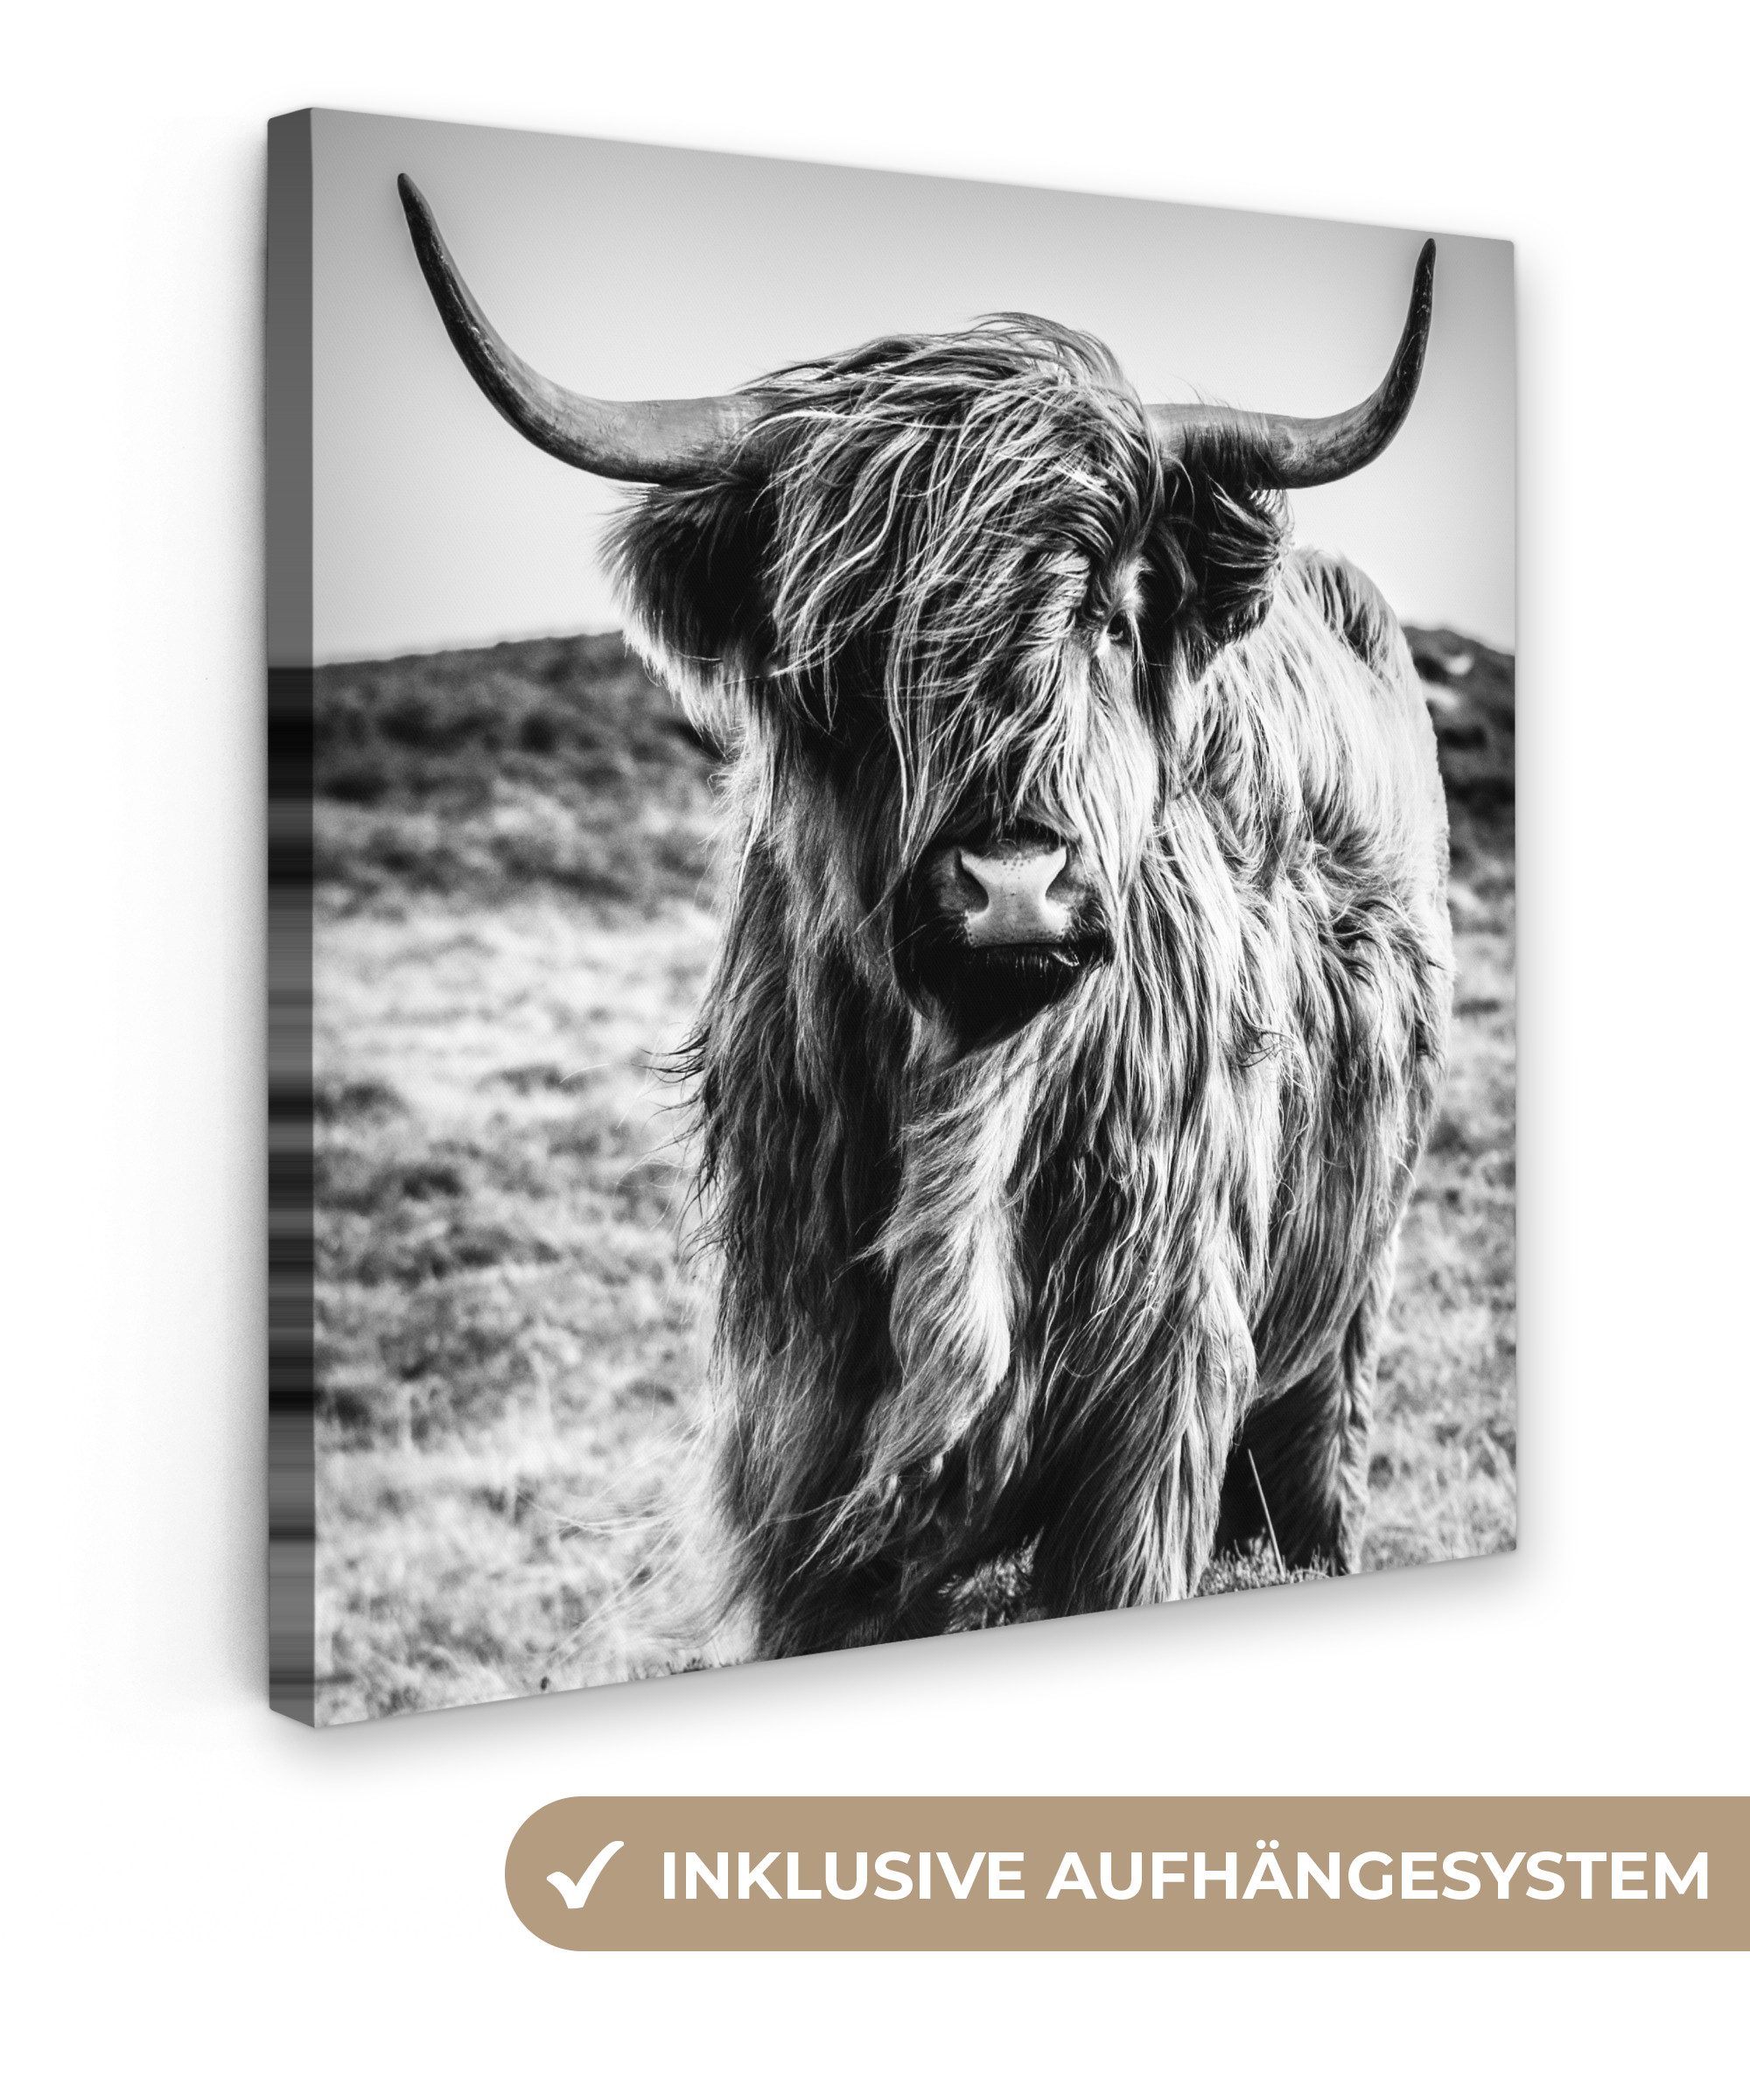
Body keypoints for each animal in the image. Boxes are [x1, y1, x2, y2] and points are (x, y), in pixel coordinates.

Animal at [397, 176, 1453, 1659]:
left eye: (1112, 618)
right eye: (848, 649)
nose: (1013, 883)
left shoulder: (1160, 1403)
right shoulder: (801, 1438)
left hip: (1349, 1302)